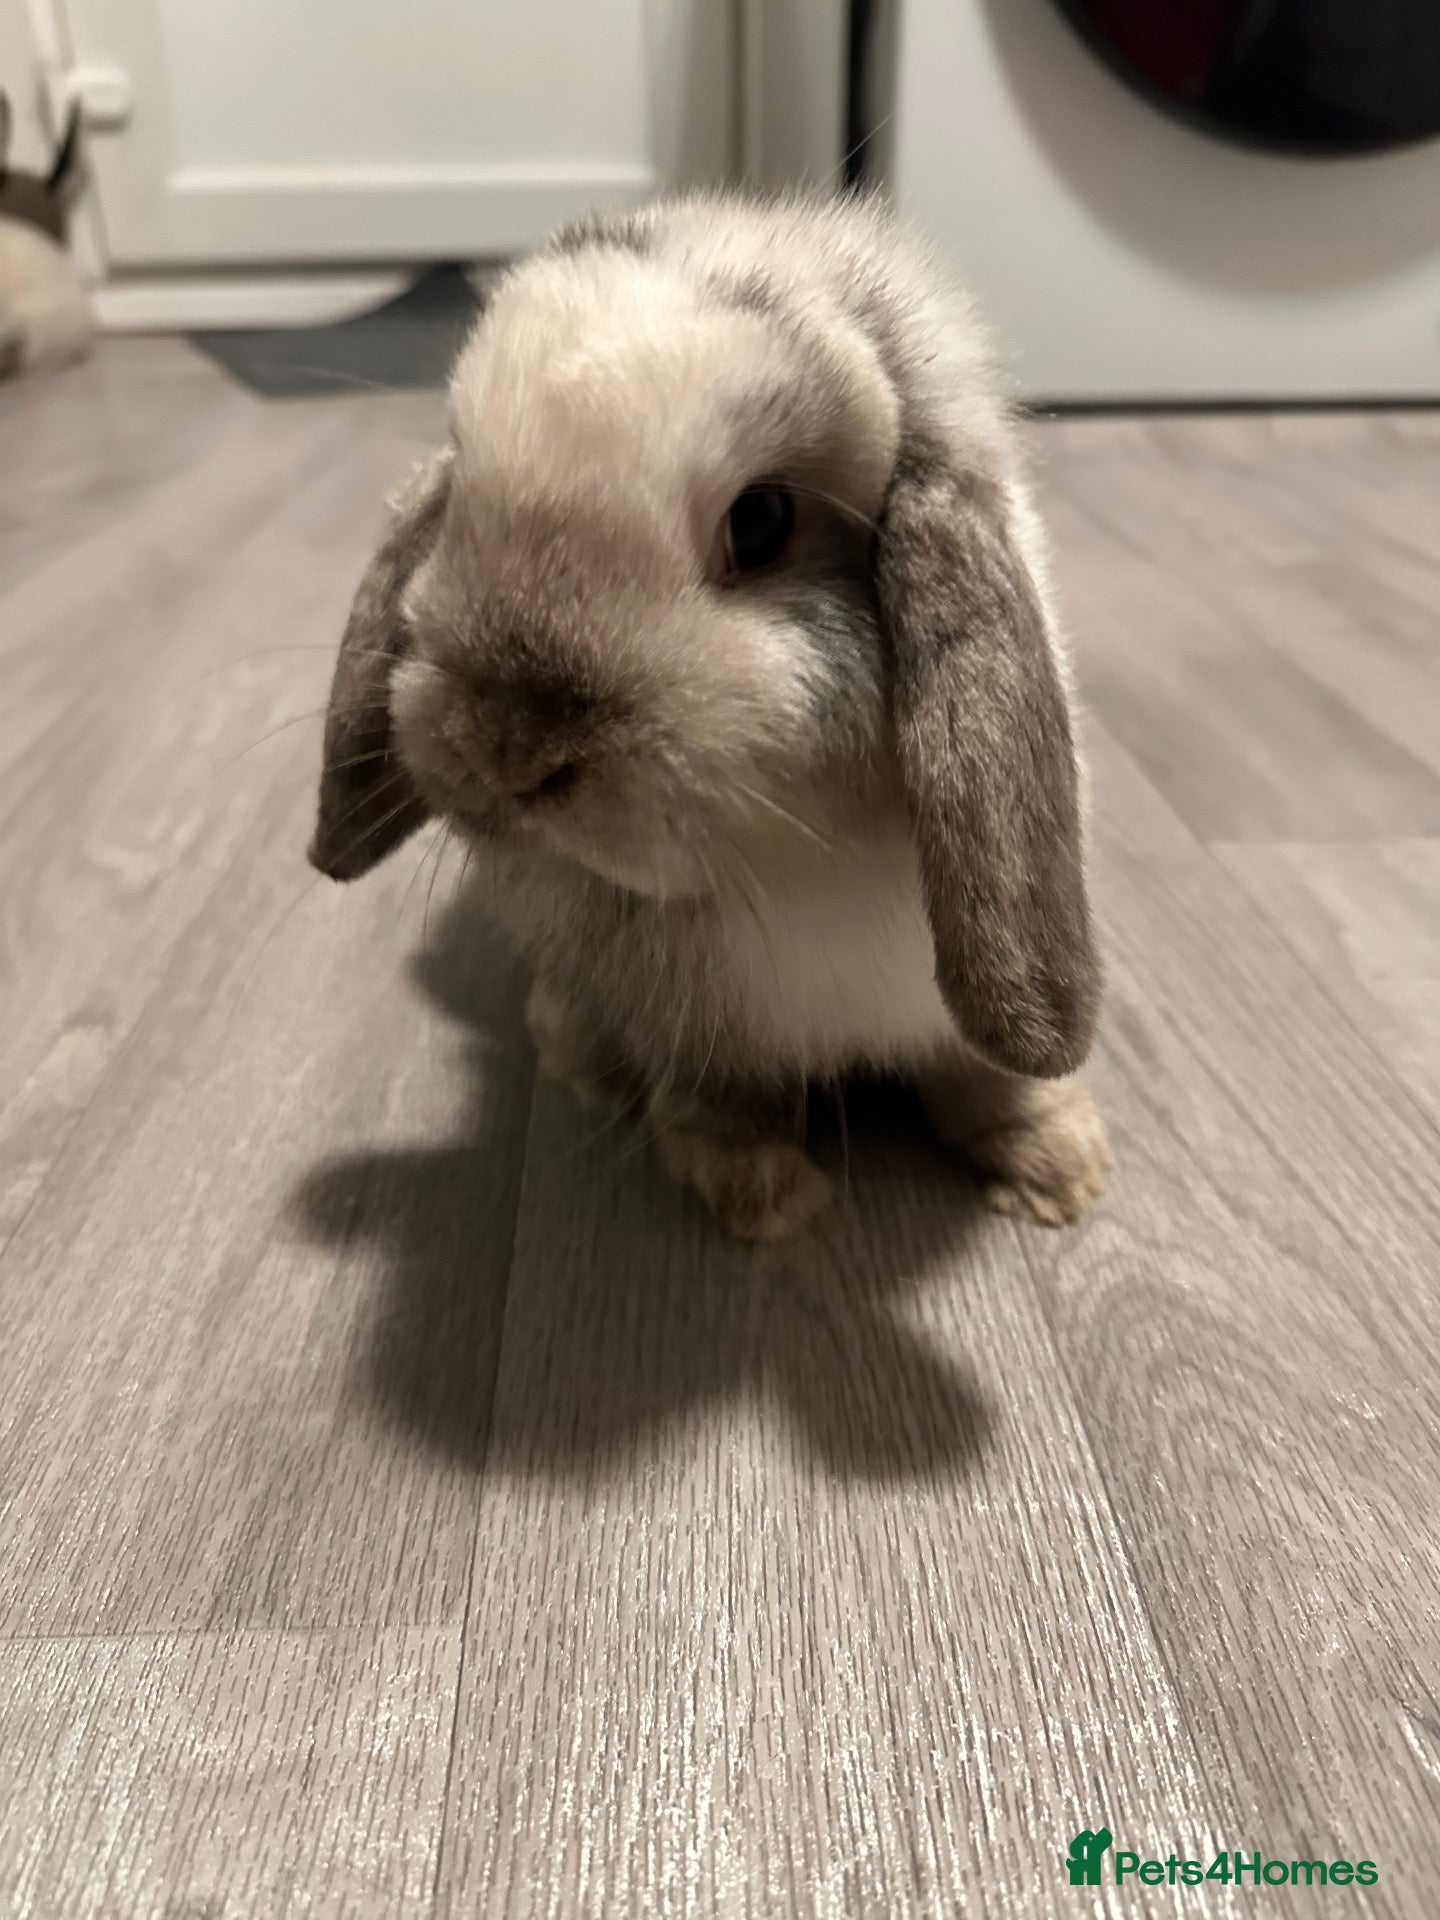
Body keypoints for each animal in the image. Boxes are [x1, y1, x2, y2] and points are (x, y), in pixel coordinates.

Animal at [310, 190, 1110, 1241]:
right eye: (459, 511)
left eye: (762, 521)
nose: (509, 749)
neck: (786, 856)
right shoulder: (706, 1030)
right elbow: (724, 1102)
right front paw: (763, 1200)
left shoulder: (948, 1009)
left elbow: (990, 1078)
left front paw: (1060, 1171)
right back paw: (579, 1057)